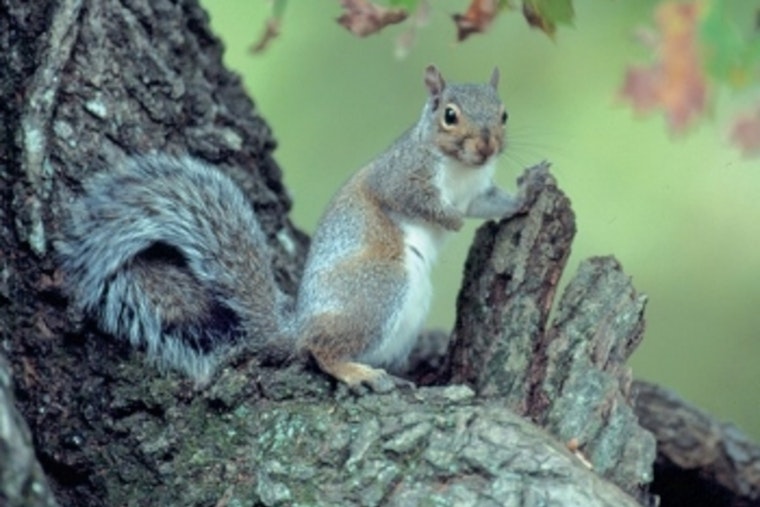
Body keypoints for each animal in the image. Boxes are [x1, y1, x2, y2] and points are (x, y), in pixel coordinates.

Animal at [58, 65, 548, 392]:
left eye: (503, 114)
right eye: (449, 114)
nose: (487, 145)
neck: (460, 170)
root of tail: (295, 328)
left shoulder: (478, 190)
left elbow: (493, 203)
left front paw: (529, 192)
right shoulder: (400, 177)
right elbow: (413, 202)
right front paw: (451, 220)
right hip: (379, 285)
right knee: (319, 349)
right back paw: (354, 372)